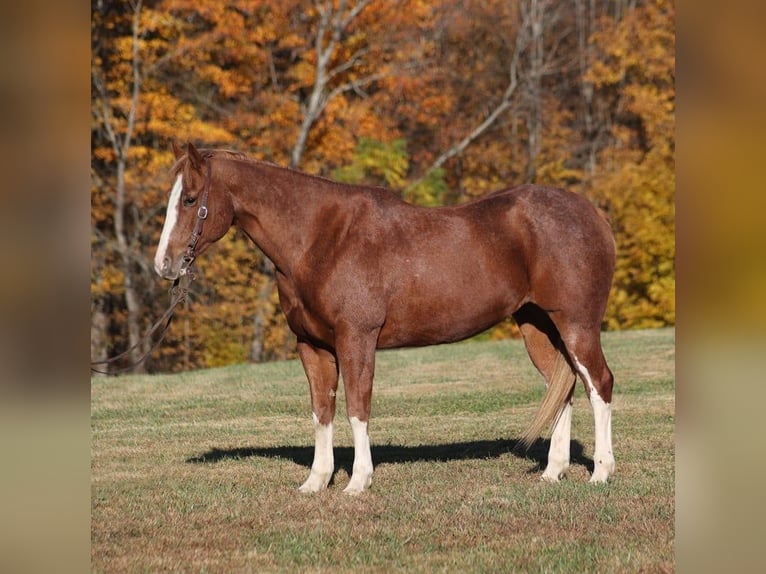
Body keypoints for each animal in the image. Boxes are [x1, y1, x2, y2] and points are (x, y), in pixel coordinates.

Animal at [154, 143, 616, 496]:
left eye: (190, 199)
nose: (164, 265)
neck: (321, 239)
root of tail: (592, 214)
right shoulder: (313, 346)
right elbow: (322, 410)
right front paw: (316, 482)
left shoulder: (356, 339)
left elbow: (358, 407)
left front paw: (358, 482)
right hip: (538, 327)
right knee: (562, 385)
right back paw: (553, 472)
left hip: (576, 325)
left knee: (599, 384)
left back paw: (601, 473)